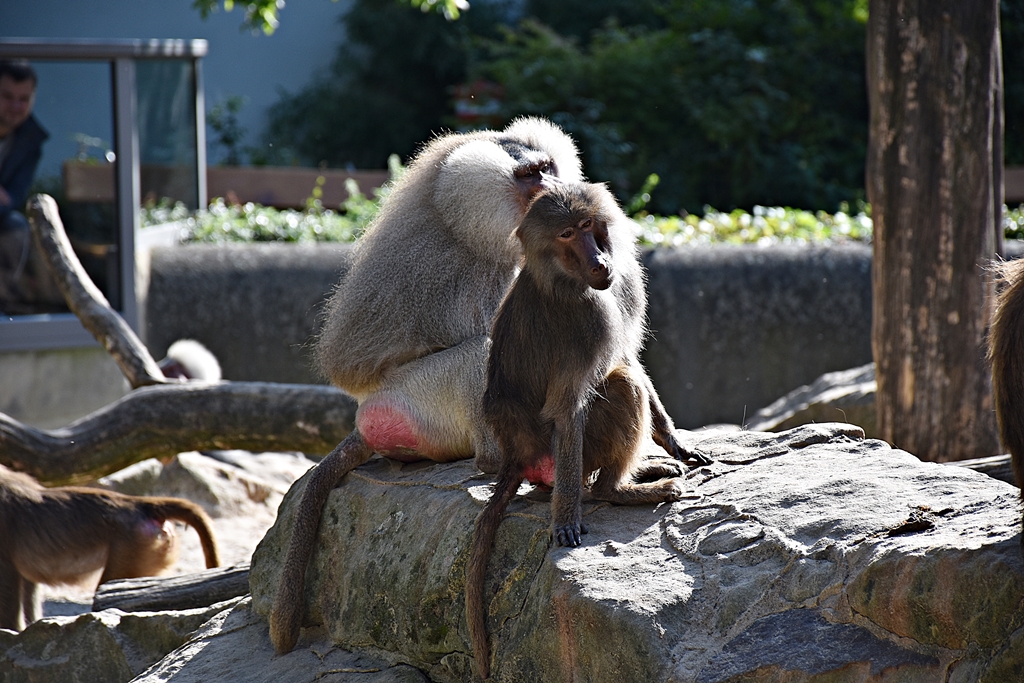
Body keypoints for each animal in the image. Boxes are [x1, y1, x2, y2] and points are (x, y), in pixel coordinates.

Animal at [465, 182, 712, 680]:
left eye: (586, 226)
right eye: (565, 235)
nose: (599, 262)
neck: (566, 277)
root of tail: (516, 452)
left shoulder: (622, 289)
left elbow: (629, 355)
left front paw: (676, 443)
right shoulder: (588, 317)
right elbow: (569, 405)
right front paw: (565, 521)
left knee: (623, 375)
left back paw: (647, 470)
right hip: (565, 452)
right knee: (620, 388)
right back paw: (621, 490)